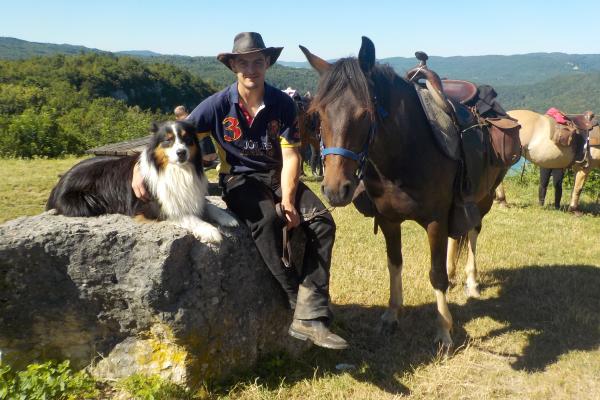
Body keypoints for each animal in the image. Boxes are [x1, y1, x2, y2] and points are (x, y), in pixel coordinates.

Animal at [45, 120, 238, 242]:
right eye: (168, 140)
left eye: (187, 139)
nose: (181, 152)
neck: (175, 170)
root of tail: (59, 182)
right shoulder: (152, 205)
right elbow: (187, 216)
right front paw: (210, 230)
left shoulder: (191, 195)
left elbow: (209, 205)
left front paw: (227, 218)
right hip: (89, 201)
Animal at [300, 36, 506, 346]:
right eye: (317, 114)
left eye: (365, 114)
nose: (336, 189)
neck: (404, 156)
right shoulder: (388, 220)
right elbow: (394, 264)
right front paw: (391, 315)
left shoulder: (435, 220)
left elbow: (436, 274)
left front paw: (444, 330)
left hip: (483, 199)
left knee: (472, 233)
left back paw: (471, 282)